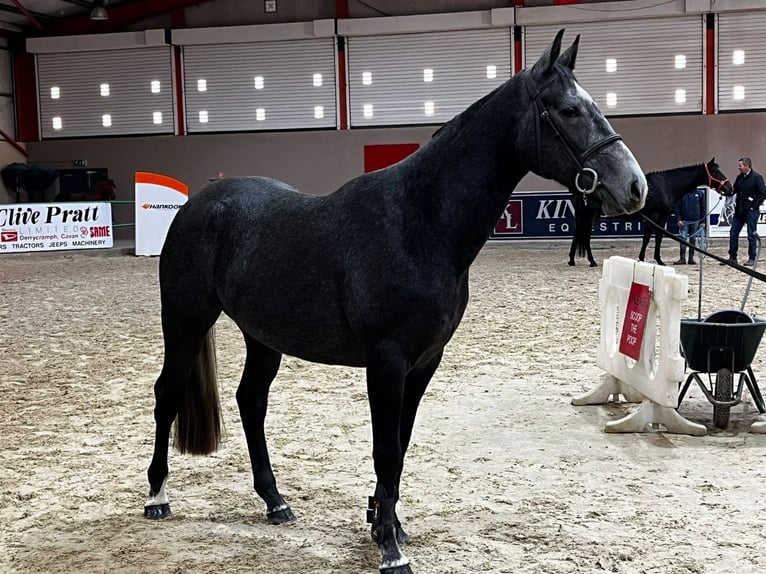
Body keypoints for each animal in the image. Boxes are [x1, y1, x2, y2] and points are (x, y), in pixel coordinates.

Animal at [142, 30, 648, 574]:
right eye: (569, 110)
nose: (634, 186)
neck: (420, 222)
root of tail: (198, 205)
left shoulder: (424, 362)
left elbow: (401, 446)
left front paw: (388, 524)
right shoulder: (386, 361)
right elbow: (385, 448)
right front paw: (389, 548)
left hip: (262, 337)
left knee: (251, 402)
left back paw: (275, 502)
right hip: (186, 320)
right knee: (167, 394)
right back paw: (157, 498)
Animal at [568, 160, 732, 268]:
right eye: (715, 171)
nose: (730, 188)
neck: (666, 185)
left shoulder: (661, 217)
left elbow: (655, 238)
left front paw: (650, 259)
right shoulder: (654, 216)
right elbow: (649, 238)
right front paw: (653, 260)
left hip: (589, 216)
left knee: (578, 235)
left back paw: (572, 260)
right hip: (588, 216)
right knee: (585, 237)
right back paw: (592, 261)